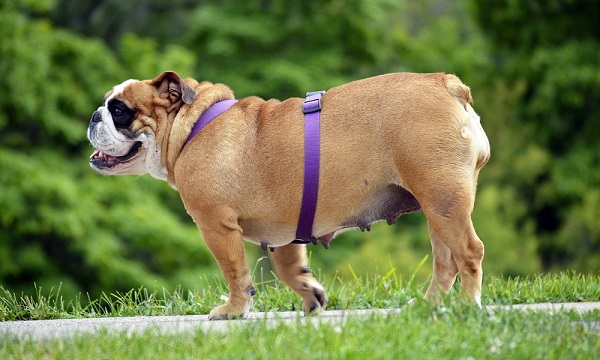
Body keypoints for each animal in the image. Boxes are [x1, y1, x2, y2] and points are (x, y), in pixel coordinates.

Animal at [89, 71, 492, 320]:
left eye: (119, 110)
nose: (94, 116)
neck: (190, 126)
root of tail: (447, 84)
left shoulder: (216, 226)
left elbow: (234, 271)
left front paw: (233, 310)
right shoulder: (286, 229)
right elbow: (288, 267)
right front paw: (311, 295)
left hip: (442, 198)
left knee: (469, 252)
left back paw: (467, 306)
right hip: (437, 203)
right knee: (445, 261)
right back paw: (427, 307)